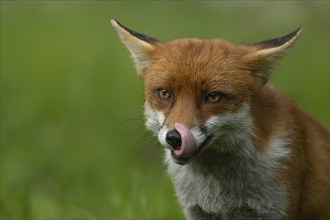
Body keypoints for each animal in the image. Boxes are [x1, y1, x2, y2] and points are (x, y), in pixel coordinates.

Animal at [111, 19, 330, 220]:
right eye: (164, 93)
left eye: (213, 97)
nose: (175, 138)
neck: (219, 195)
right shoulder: (198, 212)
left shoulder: (275, 209)